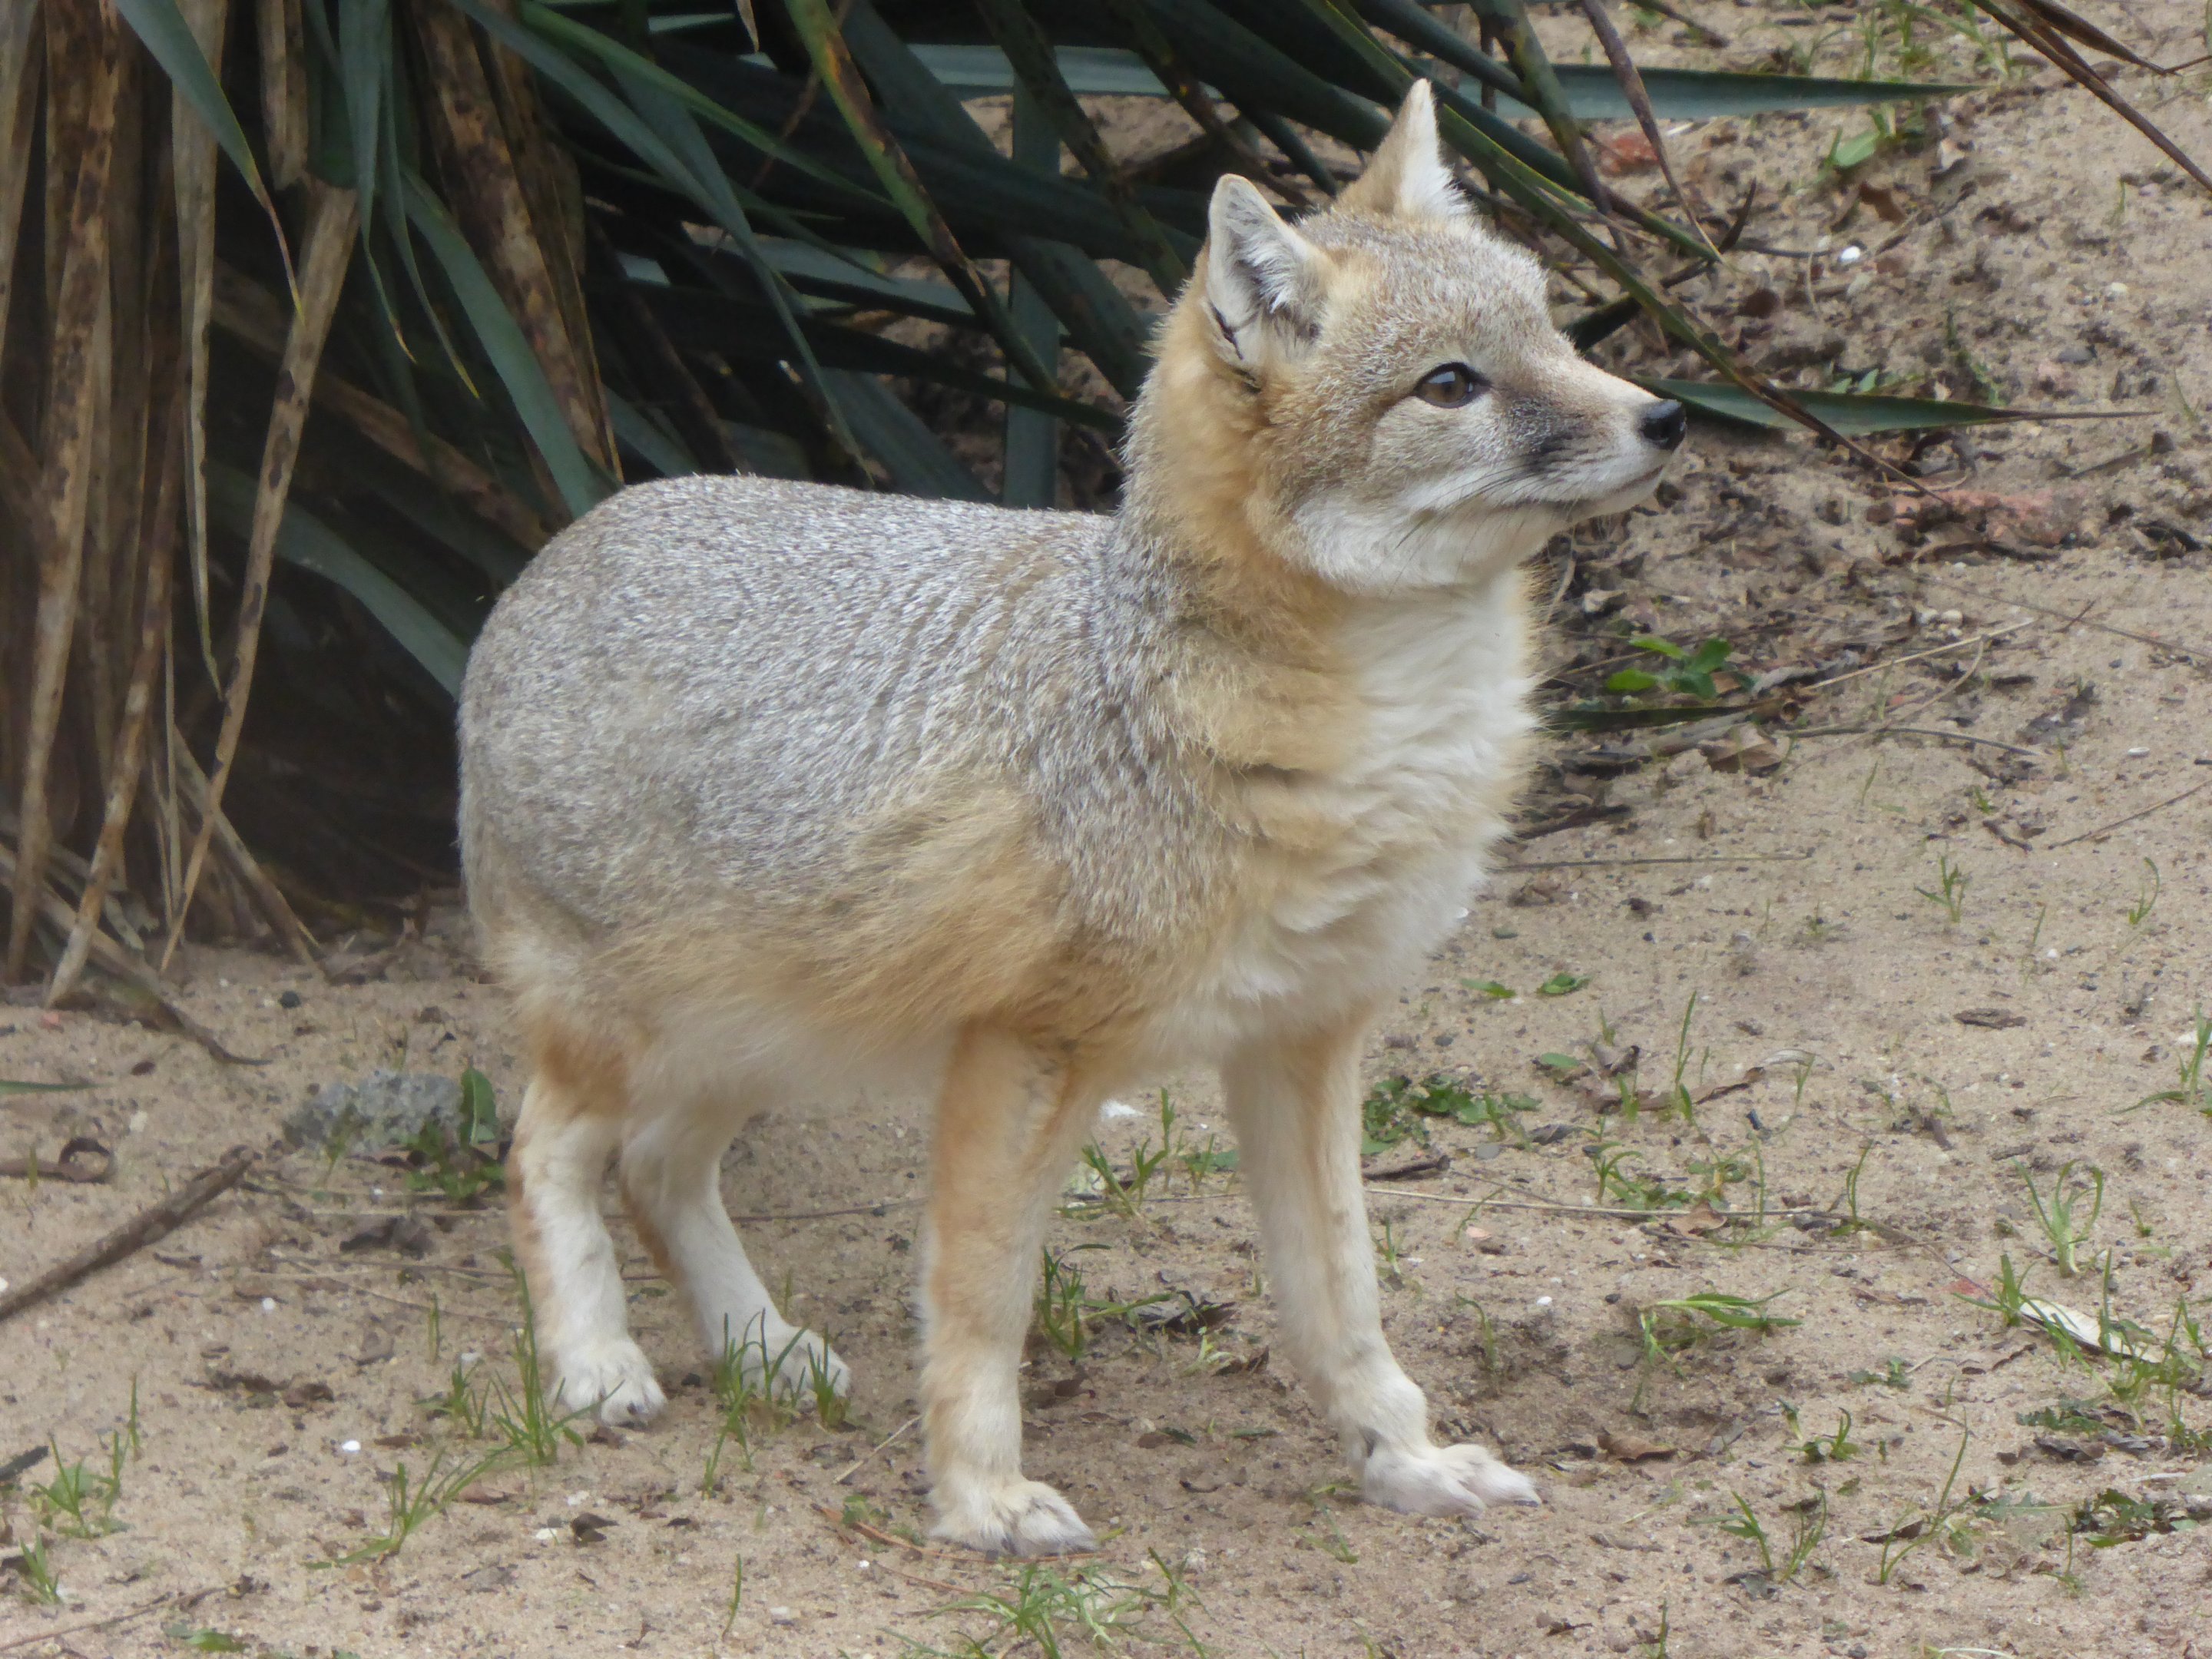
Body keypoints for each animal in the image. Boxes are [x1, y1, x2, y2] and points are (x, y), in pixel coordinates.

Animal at [457, 82, 1684, 1556]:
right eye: (1453, 384)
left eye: (1552, 329)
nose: (1670, 415)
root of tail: (567, 541)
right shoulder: (1026, 1046)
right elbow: (982, 1300)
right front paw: (979, 1494)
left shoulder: (1306, 1037)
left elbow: (1343, 1290)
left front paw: (1406, 1456)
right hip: (642, 1031)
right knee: (547, 1151)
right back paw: (594, 1358)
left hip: (769, 1032)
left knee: (653, 1168)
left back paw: (757, 1346)